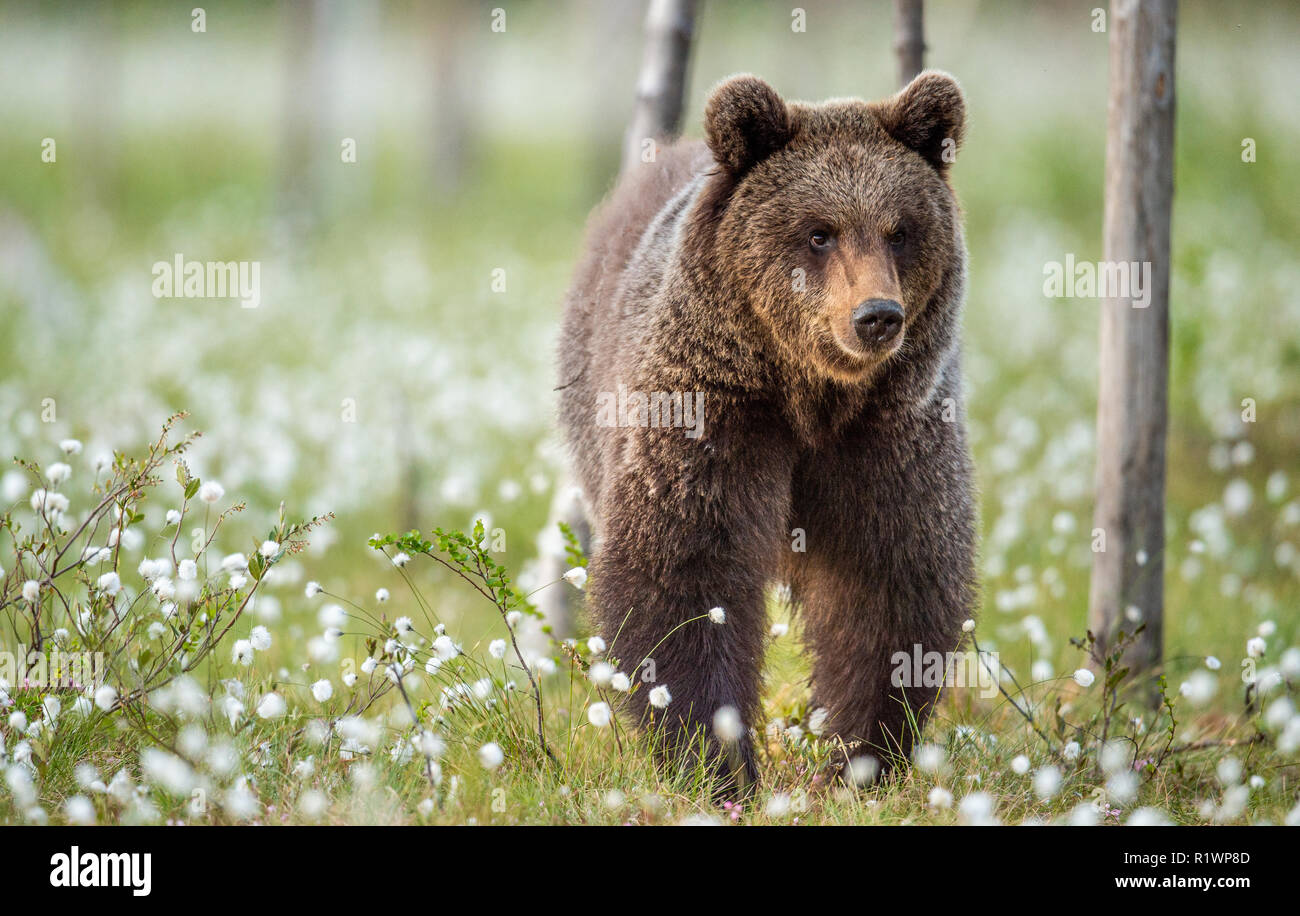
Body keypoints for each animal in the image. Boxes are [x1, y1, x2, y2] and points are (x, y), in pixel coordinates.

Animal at [557, 71, 978, 788]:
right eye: (819, 232)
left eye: (900, 230)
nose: (877, 315)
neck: (809, 394)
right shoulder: (713, 410)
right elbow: (685, 572)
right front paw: (717, 759)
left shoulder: (890, 430)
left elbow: (890, 581)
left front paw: (861, 756)